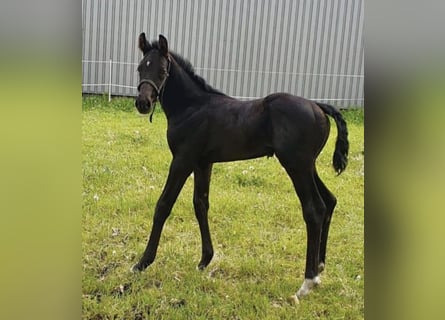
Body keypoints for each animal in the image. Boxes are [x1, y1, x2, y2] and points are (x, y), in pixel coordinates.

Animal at [131, 33, 346, 298]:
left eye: (162, 71)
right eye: (141, 68)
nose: (143, 103)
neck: (192, 107)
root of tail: (318, 106)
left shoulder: (182, 160)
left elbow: (163, 205)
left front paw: (143, 262)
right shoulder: (203, 163)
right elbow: (200, 204)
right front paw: (205, 260)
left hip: (297, 165)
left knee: (314, 209)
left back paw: (307, 281)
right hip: (308, 166)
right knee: (329, 201)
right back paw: (320, 267)